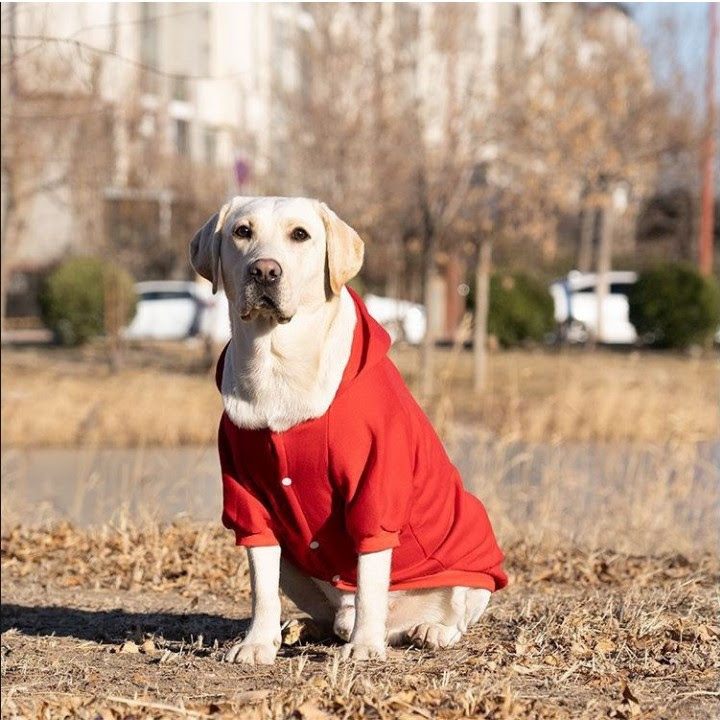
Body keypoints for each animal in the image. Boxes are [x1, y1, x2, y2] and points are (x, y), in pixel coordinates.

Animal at [191, 195, 506, 664]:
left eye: (300, 234)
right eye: (242, 232)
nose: (264, 270)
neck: (276, 363)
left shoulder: (375, 486)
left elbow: (371, 581)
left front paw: (365, 647)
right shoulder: (248, 498)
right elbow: (261, 588)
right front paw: (256, 644)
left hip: (473, 563)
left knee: (451, 617)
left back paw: (426, 630)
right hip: (294, 564)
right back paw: (303, 627)